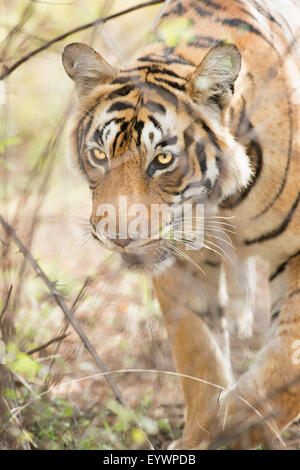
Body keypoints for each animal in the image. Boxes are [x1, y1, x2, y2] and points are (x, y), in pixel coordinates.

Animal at [61, 0, 300, 450]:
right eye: (99, 154)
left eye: (163, 160)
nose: (118, 237)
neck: (220, 205)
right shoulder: (181, 266)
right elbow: (198, 356)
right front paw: (204, 434)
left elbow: (285, 363)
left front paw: (238, 426)